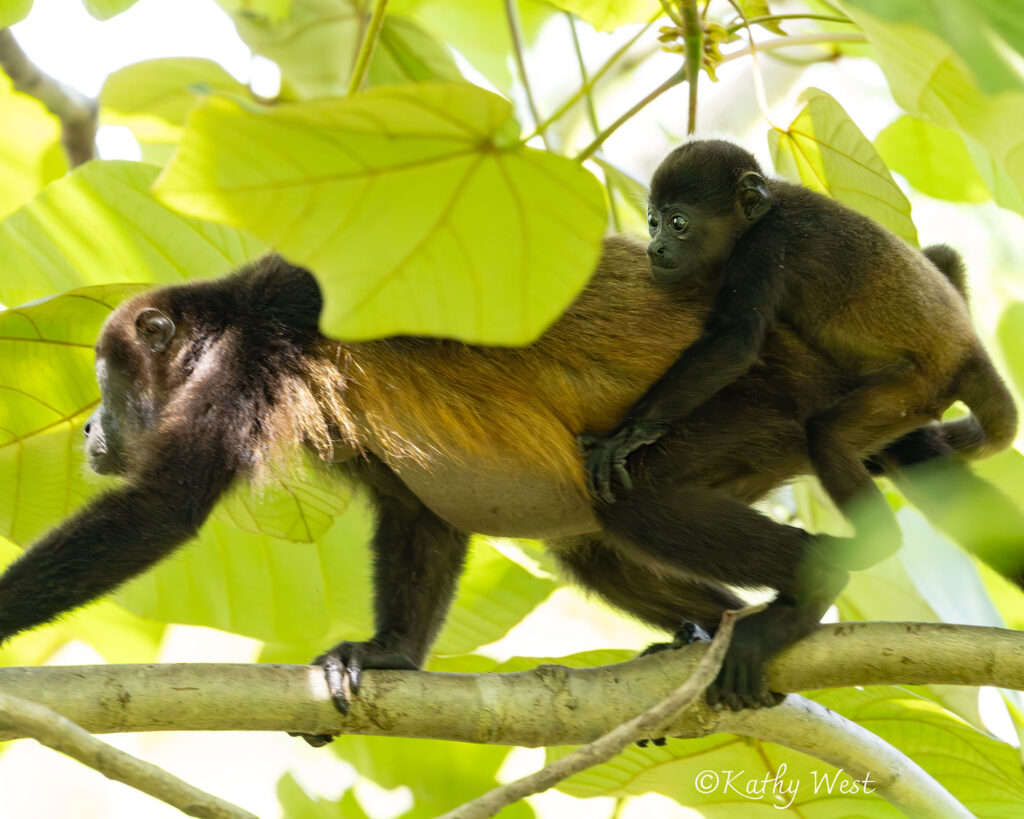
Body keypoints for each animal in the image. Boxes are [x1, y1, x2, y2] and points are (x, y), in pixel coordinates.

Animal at [0, 236, 1014, 729]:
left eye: (105, 380)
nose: (86, 426)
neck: (228, 321)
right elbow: (420, 513)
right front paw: (386, 655)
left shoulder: (255, 354)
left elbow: (162, 507)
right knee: (595, 544)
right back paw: (704, 640)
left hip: (758, 399)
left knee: (630, 500)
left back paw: (807, 586)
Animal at [584, 139, 1018, 581]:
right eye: (652, 221)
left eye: (677, 223)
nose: (654, 248)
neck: (760, 215)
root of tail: (967, 347)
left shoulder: (763, 249)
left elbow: (733, 342)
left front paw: (627, 435)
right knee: (943, 256)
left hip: (918, 388)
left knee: (826, 434)